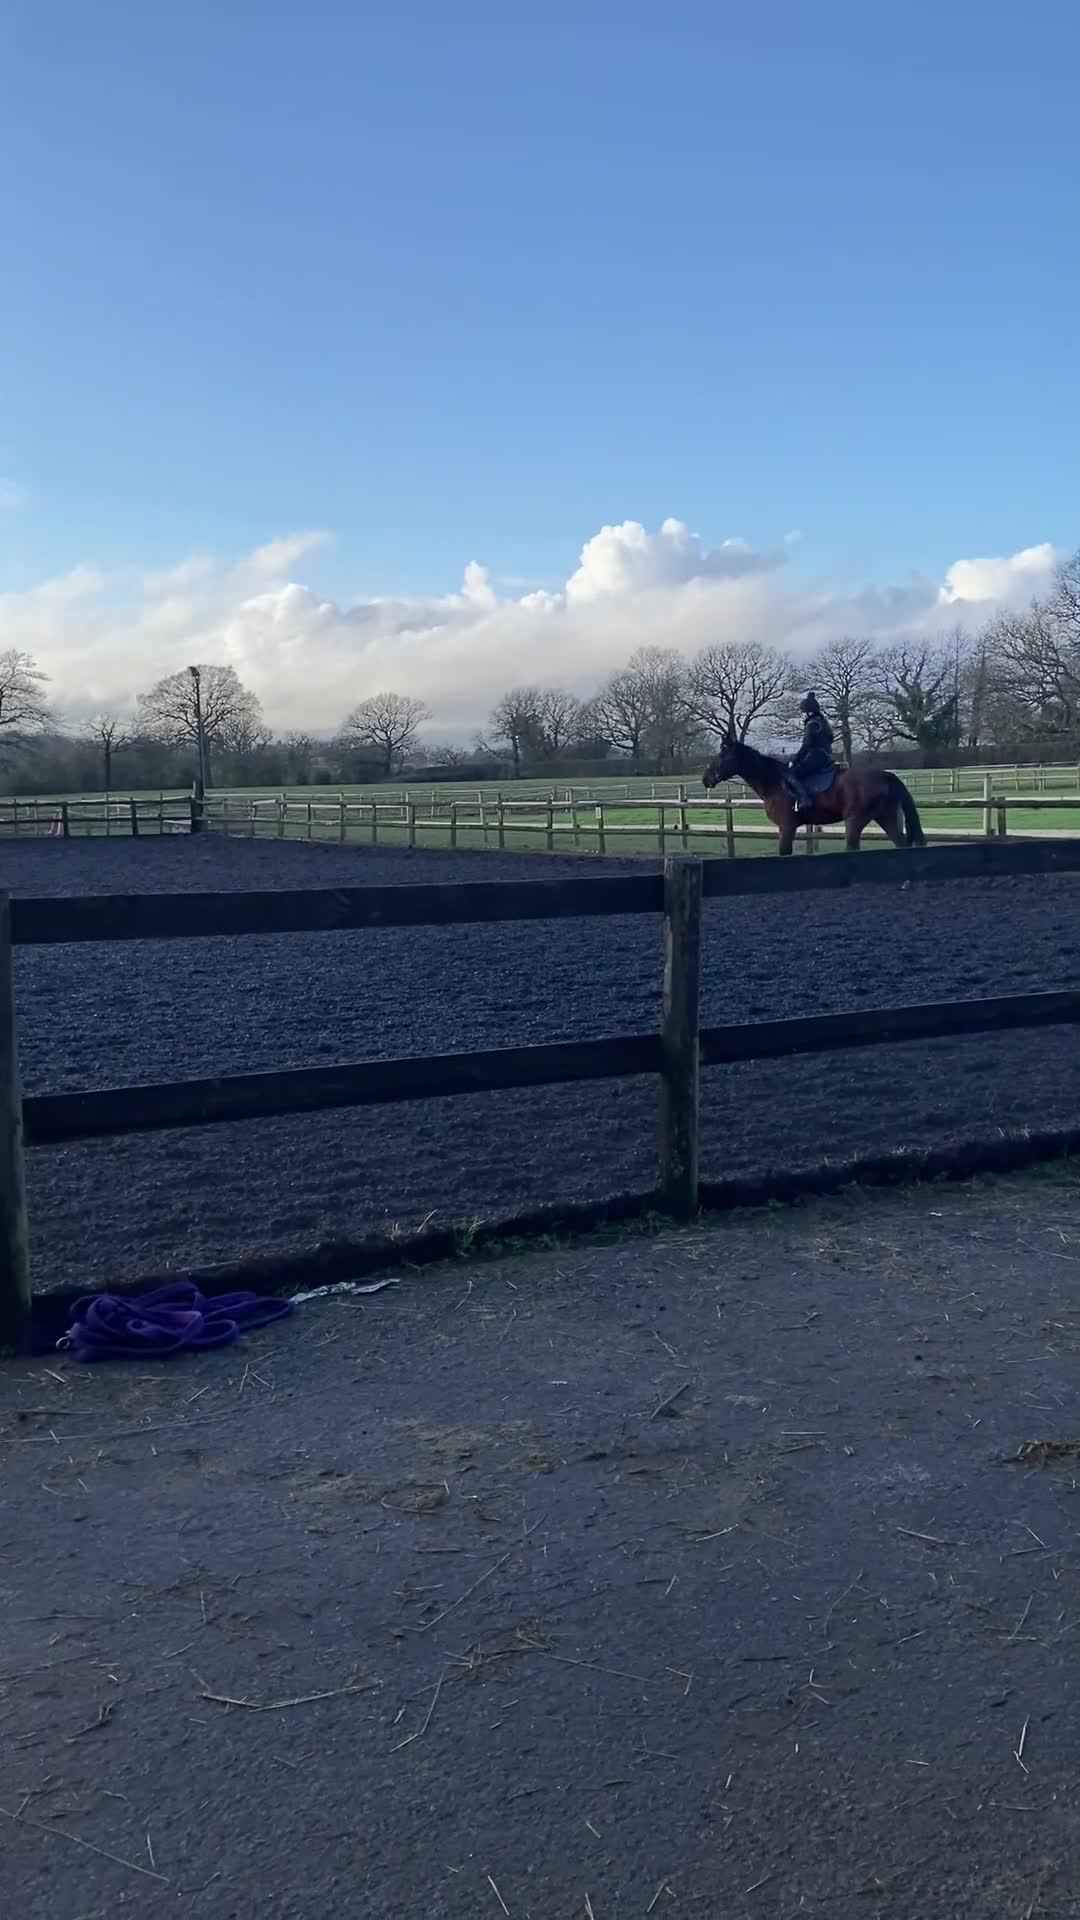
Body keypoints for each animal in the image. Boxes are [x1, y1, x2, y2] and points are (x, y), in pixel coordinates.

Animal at [701, 734, 926, 856]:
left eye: (722, 755)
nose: (706, 778)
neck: (774, 782)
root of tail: (886, 775)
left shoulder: (787, 826)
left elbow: (784, 853)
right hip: (886, 817)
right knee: (901, 843)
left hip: (855, 820)